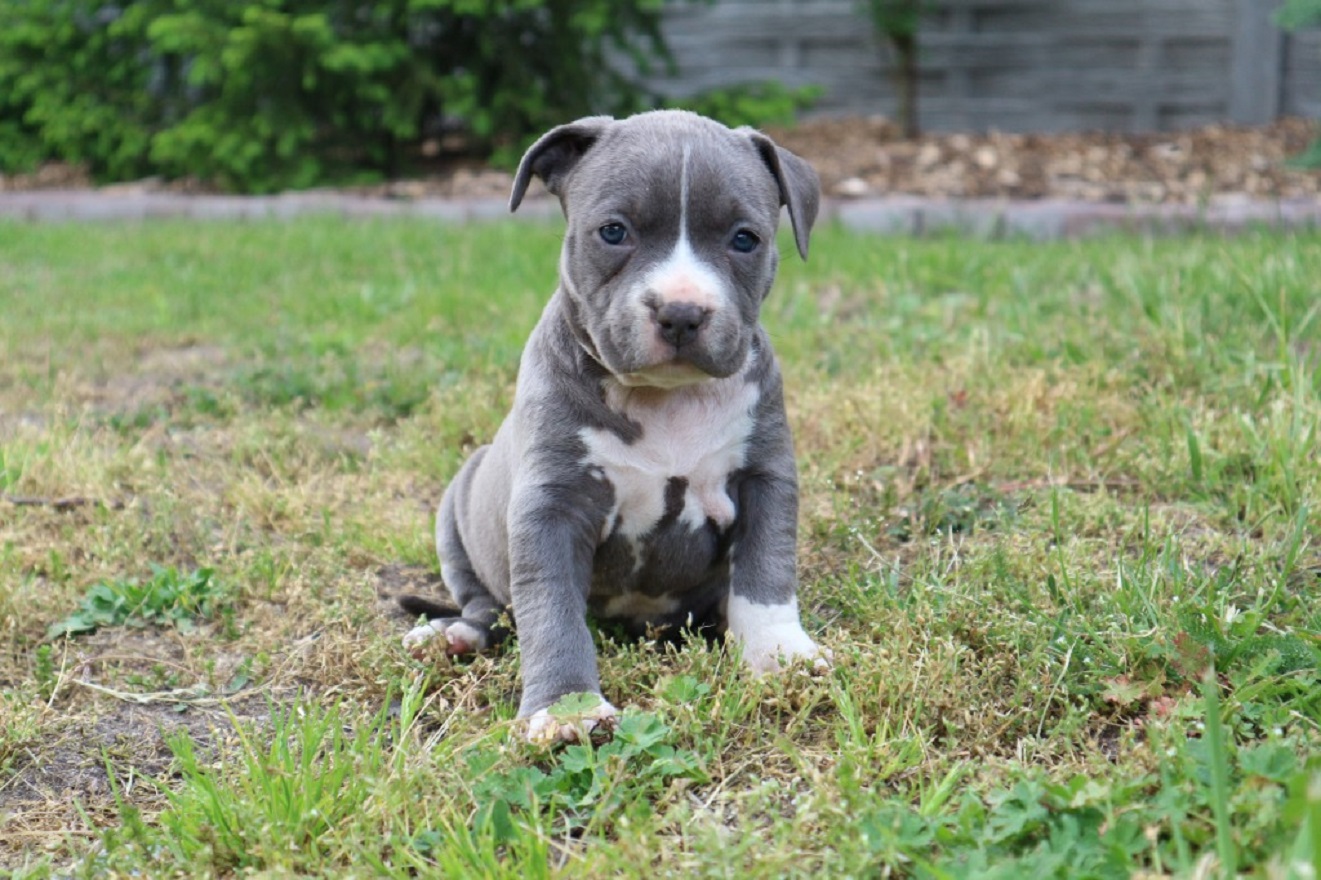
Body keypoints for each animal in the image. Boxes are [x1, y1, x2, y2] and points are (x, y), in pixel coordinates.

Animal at [401, 109, 824, 739]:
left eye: (745, 239)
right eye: (614, 232)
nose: (681, 312)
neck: (665, 402)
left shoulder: (764, 478)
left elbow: (765, 575)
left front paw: (779, 653)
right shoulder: (551, 506)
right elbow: (551, 610)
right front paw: (564, 707)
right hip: (458, 506)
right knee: (487, 606)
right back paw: (452, 635)